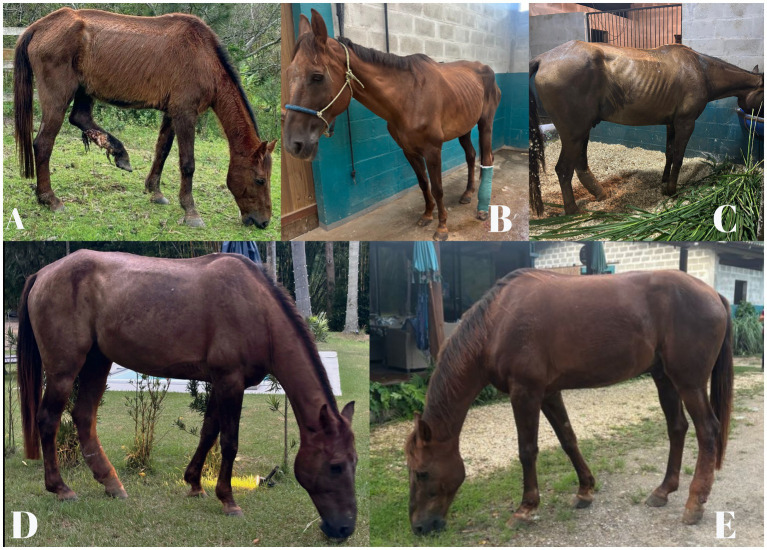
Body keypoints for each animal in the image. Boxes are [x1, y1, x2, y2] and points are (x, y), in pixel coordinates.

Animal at [14, 7, 277, 229]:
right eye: (260, 180)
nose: (264, 222)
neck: (203, 56)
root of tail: (40, 26)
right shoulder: (185, 114)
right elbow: (188, 164)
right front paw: (191, 211)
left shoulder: (172, 114)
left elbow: (162, 151)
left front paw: (155, 191)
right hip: (58, 98)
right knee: (43, 144)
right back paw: (50, 199)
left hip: (84, 91)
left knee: (80, 118)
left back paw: (119, 152)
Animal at [17, 250, 357, 539]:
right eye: (335, 465)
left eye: (354, 462)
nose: (344, 529)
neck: (256, 308)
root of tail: (43, 273)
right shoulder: (230, 381)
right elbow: (229, 442)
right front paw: (228, 500)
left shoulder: (221, 383)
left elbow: (208, 433)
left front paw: (194, 483)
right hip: (64, 370)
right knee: (49, 420)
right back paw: (61, 488)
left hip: (97, 362)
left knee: (84, 417)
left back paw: (112, 484)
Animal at [283, 9, 501, 241]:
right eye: (289, 73)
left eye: (317, 76)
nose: (293, 144)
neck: (410, 96)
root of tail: (487, 69)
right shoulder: (409, 151)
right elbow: (424, 183)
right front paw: (427, 215)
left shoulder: (433, 150)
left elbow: (438, 188)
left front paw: (442, 227)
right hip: (464, 128)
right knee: (471, 155)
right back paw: (467, 194)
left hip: (485, 124)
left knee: (487, 158)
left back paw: (482, 209)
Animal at [405, 268, 733, 535]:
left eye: (422, 473)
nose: (420, 527)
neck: (497, 323)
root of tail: (714, 294)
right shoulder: (549, 393)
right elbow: (568, 439)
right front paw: (585, 490)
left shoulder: (525, 392)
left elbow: (527, 450)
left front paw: (525, 509)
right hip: (664, 378)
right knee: (677, 428)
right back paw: (663, 491)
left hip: (689, 382)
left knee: (707, 430)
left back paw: (694, 503)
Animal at [529, 40, 764, 215]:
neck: (701, 70)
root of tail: (543, 58)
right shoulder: (685, 123)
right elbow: (679, 156)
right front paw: (671, 190)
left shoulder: (671, 123)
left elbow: (670, 153)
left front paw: (664, 181)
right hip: (574, 133)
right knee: (564, 169)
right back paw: (573, 211)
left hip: (582, 131)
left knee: (580, 166)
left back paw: (600, 194)